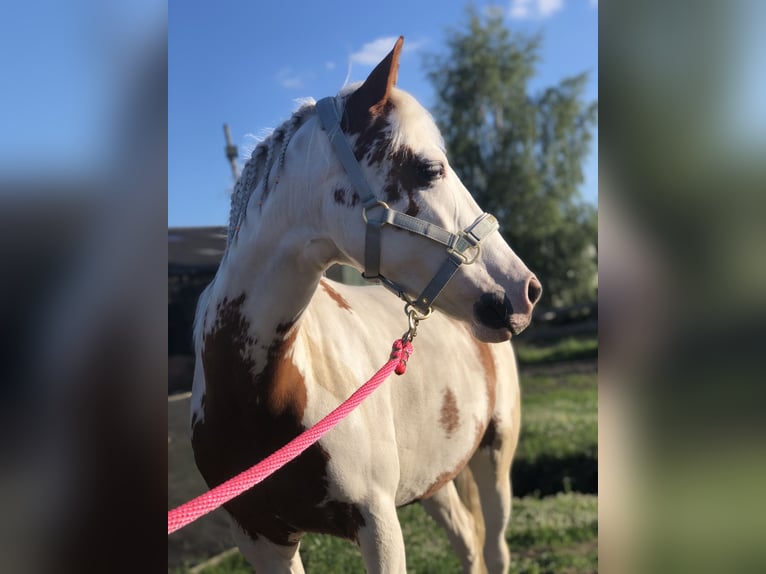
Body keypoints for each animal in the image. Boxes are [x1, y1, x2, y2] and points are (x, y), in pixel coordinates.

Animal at [190, 37, 540, 574]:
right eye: (429, 169)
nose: (525, 290)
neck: (257, 390)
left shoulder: (378, 526)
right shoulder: (261, 539)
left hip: (494, 459)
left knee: (494, 548)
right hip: (432, 481)